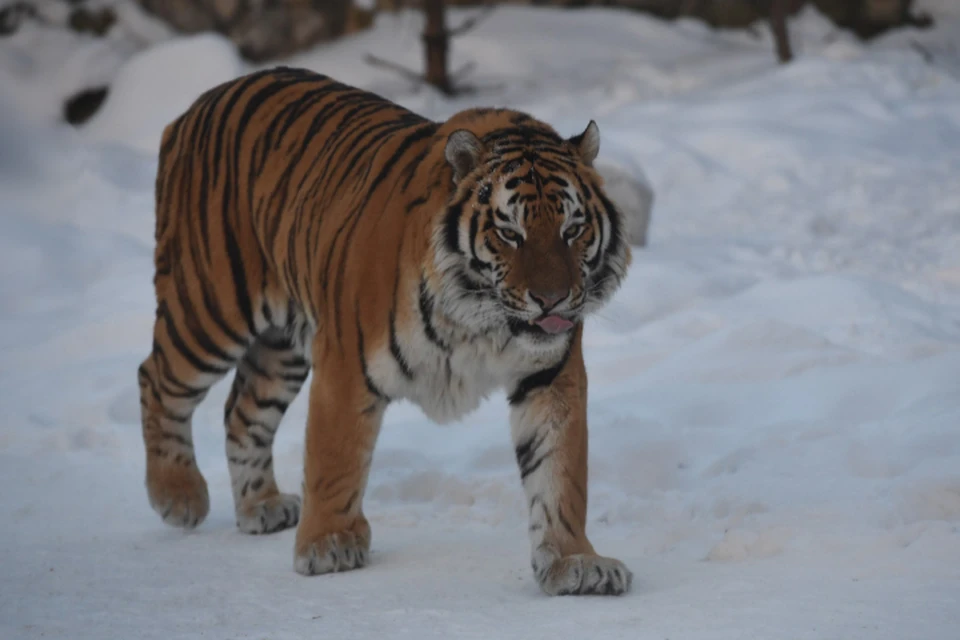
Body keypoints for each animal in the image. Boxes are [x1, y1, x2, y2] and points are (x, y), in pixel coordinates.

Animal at [135, 65, 632, 596]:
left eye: (572, 230)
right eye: (509, 233)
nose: (551, 299)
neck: (483, 321)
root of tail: (194, 107)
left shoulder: (550, 376)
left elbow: (560, 473)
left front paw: (575, 560)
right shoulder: (345, 364)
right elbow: (335, 459)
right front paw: (328, 544)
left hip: (282, 346)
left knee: (241, 410)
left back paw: (261, 506)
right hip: (209, 308)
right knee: (156, 378)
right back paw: (178, 495)